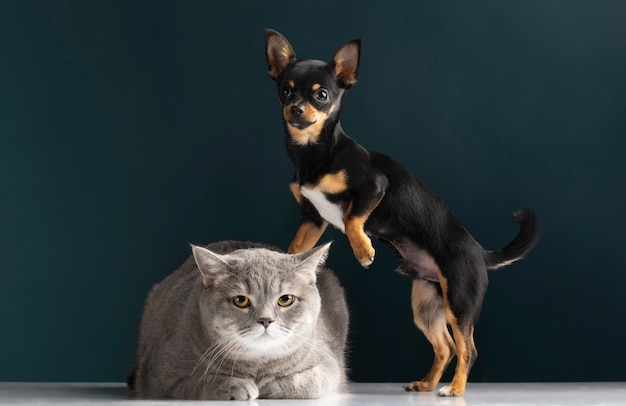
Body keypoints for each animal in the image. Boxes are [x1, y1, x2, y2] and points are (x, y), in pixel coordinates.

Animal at [129, 241, 348, 400]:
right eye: (240, 300)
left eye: (285, 299)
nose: (266, 320)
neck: (257, 363)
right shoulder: (161, 377)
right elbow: (200, 380)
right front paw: (233, 384)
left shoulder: (329, 364)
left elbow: (312, 381)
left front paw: (271, 386)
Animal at [264, 29, 536, 396]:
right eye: (285, 91)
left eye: (322, 95)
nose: (296, 109)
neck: (315, 153)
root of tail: (480, 252)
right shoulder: (313, 218)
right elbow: (298, 246)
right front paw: (290, 264)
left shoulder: (374, 188)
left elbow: (351, 218)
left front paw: (363, 250)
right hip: (426, 305)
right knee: (446, 347)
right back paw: (427, 383)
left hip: (459, 302)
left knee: (467, 348)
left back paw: (455, 390)